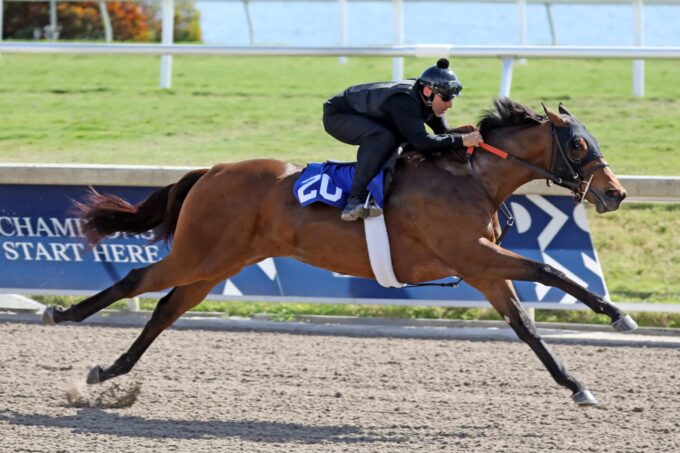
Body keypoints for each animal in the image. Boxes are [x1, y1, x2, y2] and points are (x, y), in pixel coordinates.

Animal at [45, 99, 636, 406]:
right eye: (578, 144)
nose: (616, 193)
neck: (471, 176)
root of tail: (212, 170)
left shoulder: (483, 266)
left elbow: (527, 326)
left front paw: (577, 384)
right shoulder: (471, 254)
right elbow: (549, 269)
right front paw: (617, 315)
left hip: (220, 262)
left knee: (167, 308)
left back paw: (107, 371)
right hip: (200, 253)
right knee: (138, 280)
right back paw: (63, 315)